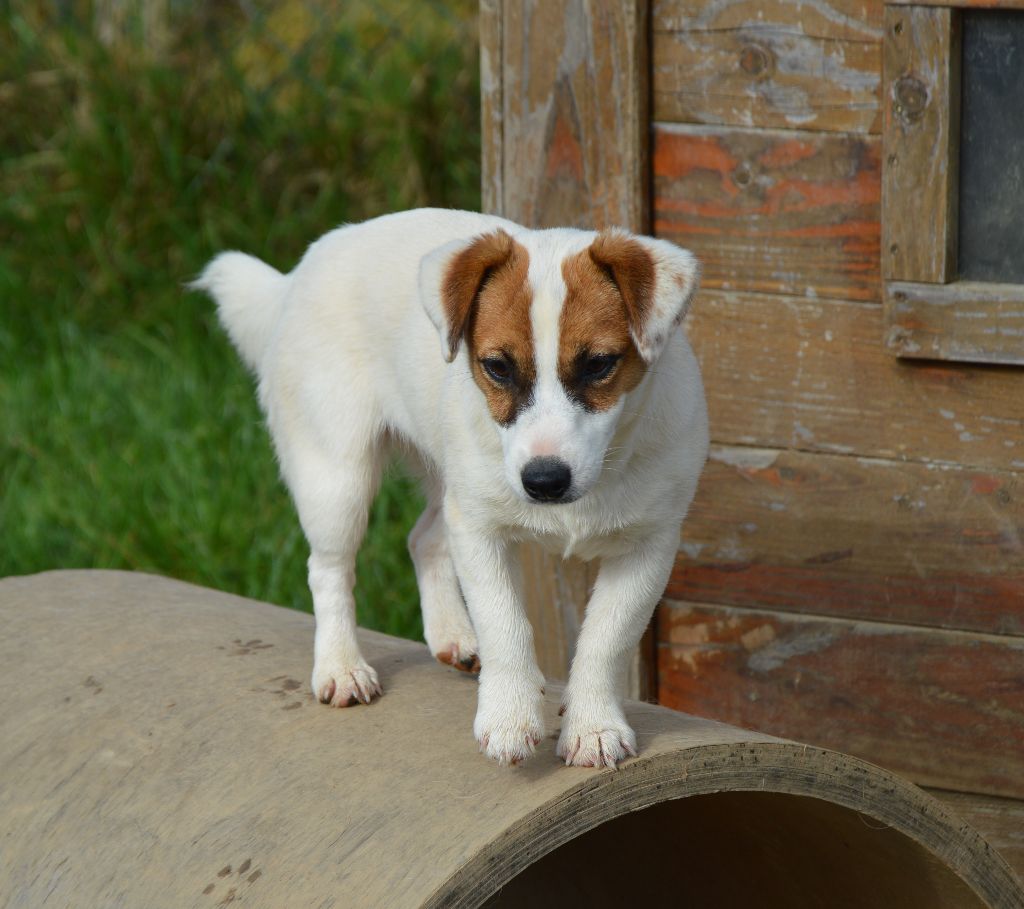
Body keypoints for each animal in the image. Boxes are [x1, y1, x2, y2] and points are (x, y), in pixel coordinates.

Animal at [197, 207, 712, 765]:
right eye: (498, 367)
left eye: (598, 364)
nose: (544, 481)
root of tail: (297, 276)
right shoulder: (480, 529)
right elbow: (504, 620)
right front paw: (509, 715)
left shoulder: (649, 544)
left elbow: (606, 638)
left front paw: (593, 726)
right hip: (337, 477)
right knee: (329, 568)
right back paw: (340, 665)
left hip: (446, 480)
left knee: (422, 538)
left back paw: (452, 636)